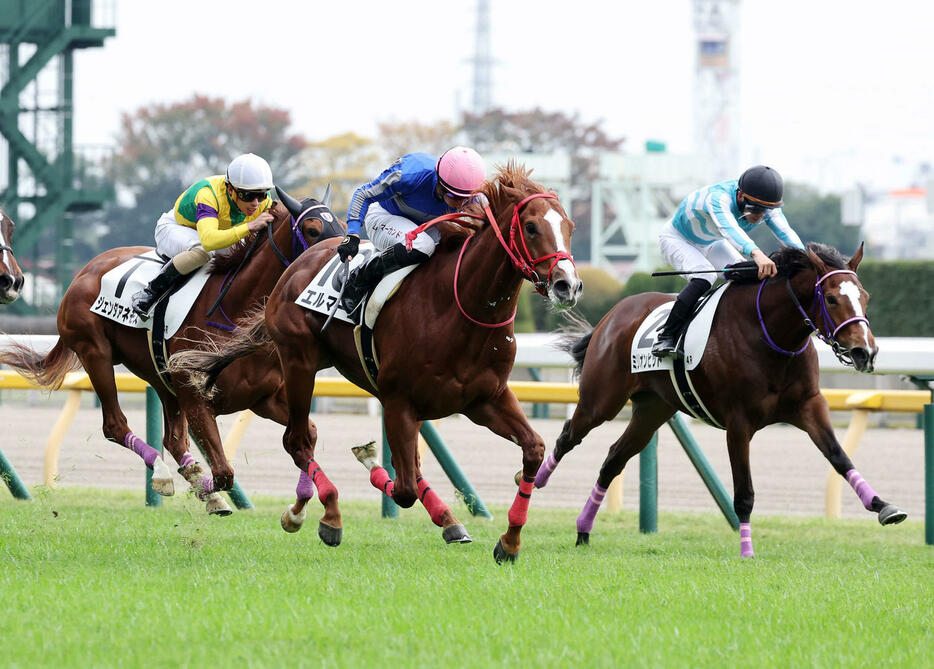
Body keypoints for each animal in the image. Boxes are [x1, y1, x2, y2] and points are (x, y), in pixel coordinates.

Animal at [0, 190, 344, 516]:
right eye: (312, 229)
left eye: (340, 226)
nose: (338, 260)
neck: (231, 309)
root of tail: (84, 271)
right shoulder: (197, 400)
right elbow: (223, 473)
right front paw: (206, 490)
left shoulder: (264, 398)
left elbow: (307, 434)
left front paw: (298, 508)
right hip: (95, 352)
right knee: (116, 425)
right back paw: (163, 474)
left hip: (160, 378)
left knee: (173, 440)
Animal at [172, 163, 580, 560]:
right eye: (531, 227)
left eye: (570, 227)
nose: (568, 285)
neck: (459, 307)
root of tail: (296, 265)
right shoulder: (399, 401)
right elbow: (403, 489)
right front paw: (367, 465)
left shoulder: (486, 399)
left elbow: (533, 450)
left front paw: (509, 541)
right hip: (299, 361)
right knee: (298, 441)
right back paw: (321, 515)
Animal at [532, 243, 908, 556]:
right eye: (831, 298)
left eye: (865, 296)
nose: (865, 352)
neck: (771, 336)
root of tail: (612, 316)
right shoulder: (739, 423)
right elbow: (744, 494)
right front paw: (747, 550)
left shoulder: (808, 406)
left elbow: (839, 457)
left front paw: (883, 506)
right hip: (602, 400)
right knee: (569, 435)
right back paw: (538, 478)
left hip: (653, 410)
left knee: (612, 460)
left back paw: (583, 530)